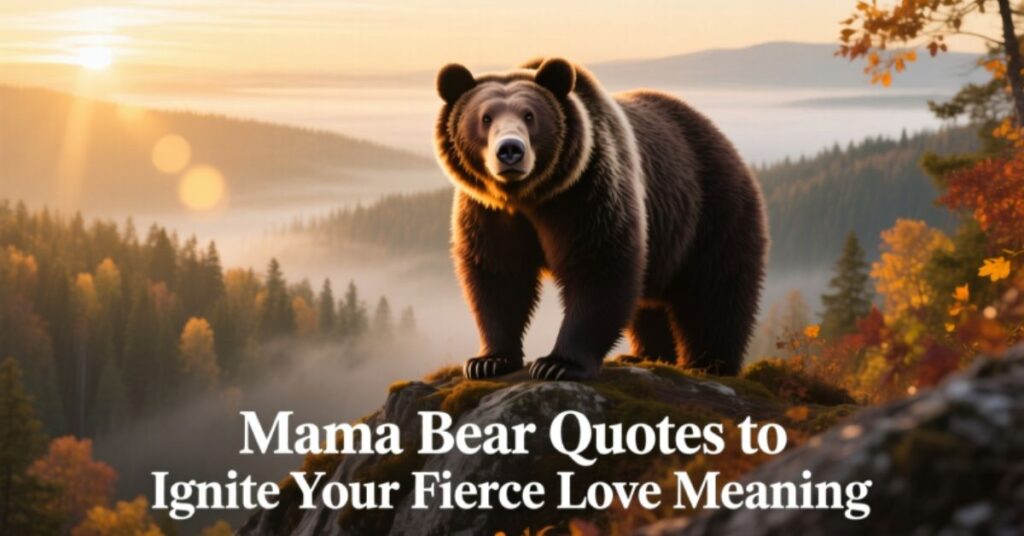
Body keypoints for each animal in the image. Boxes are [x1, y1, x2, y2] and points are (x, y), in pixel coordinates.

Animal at [434, 57, 767, 381]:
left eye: (530, 115)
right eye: (485, 117)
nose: (510, 150)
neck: (528, 196)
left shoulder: (586, 192)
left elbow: (599, 266)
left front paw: (557, 364)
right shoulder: (488, 211)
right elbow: (499, 275)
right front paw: (488, 361)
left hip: (714, 211)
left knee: (714, 293)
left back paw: (709, 365)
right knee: (650, 303)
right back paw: (644, 356)